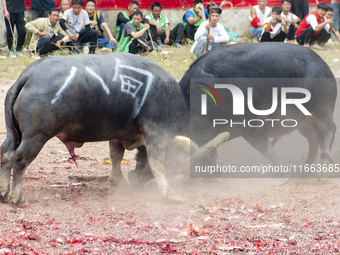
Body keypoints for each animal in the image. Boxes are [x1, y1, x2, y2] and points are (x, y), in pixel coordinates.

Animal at [0, 53, 189, 205]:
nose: (134, 178)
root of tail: (29, 74)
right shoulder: (157, 133)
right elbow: (157, 163)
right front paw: (170, 194)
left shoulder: (117, 134)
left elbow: (116, 156)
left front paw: (118, 180)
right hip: (36, 136)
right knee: (20, 159)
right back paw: (18, 197)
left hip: (13, 133)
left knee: (7, 153)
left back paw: (4, 193)